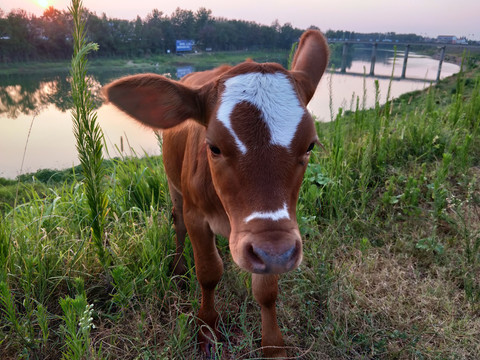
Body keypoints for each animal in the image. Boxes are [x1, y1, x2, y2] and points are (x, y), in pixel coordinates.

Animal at [104, 30, 330, 358]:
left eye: (310, 145)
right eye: (213, 146)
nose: (276, 253)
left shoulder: (273, 237)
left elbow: (266, 290)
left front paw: (273, 345)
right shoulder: (198, 217)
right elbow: (209, 272)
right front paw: (207, 331)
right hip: (174, 187)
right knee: (177, 223)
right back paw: (178, 268)